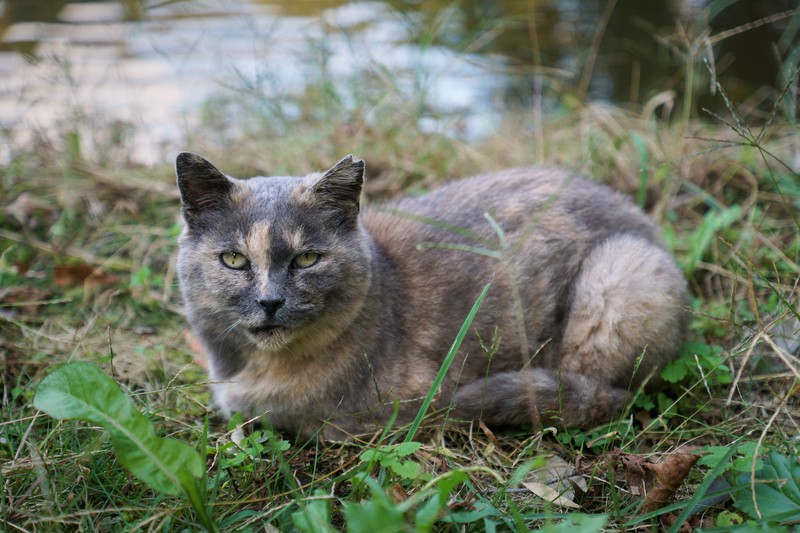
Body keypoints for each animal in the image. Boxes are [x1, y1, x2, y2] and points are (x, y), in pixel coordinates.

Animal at [177, 154, 688, 440]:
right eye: (234, 260)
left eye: (307, 259)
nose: (270, 301)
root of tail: (642, 219)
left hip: (624, 276)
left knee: (616, 394)